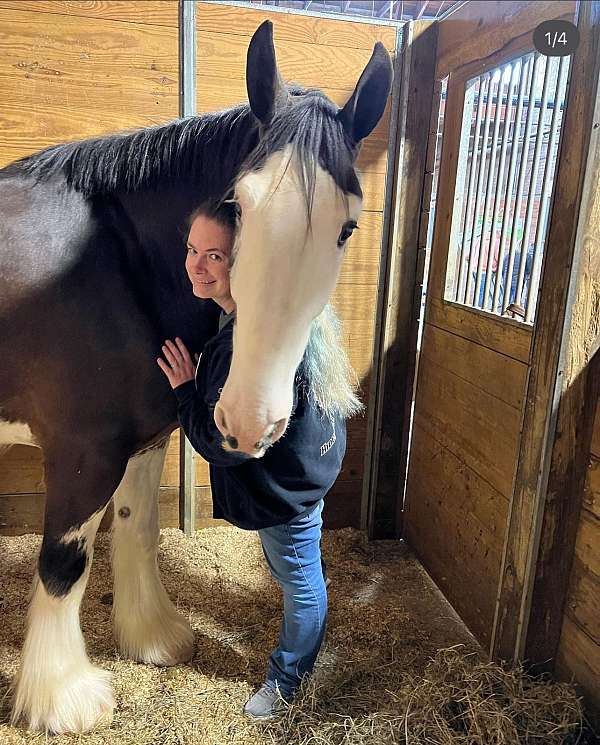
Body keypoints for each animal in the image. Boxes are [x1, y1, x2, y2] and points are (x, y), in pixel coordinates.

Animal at [0, 20, 394, 728]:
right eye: (239, 205)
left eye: (348, 227)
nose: (249, 420)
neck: (116, 264)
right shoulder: (83, 450)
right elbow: (64, 564)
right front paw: (63, 698)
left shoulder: (142, 442)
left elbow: (137, 530)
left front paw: (153, 637)